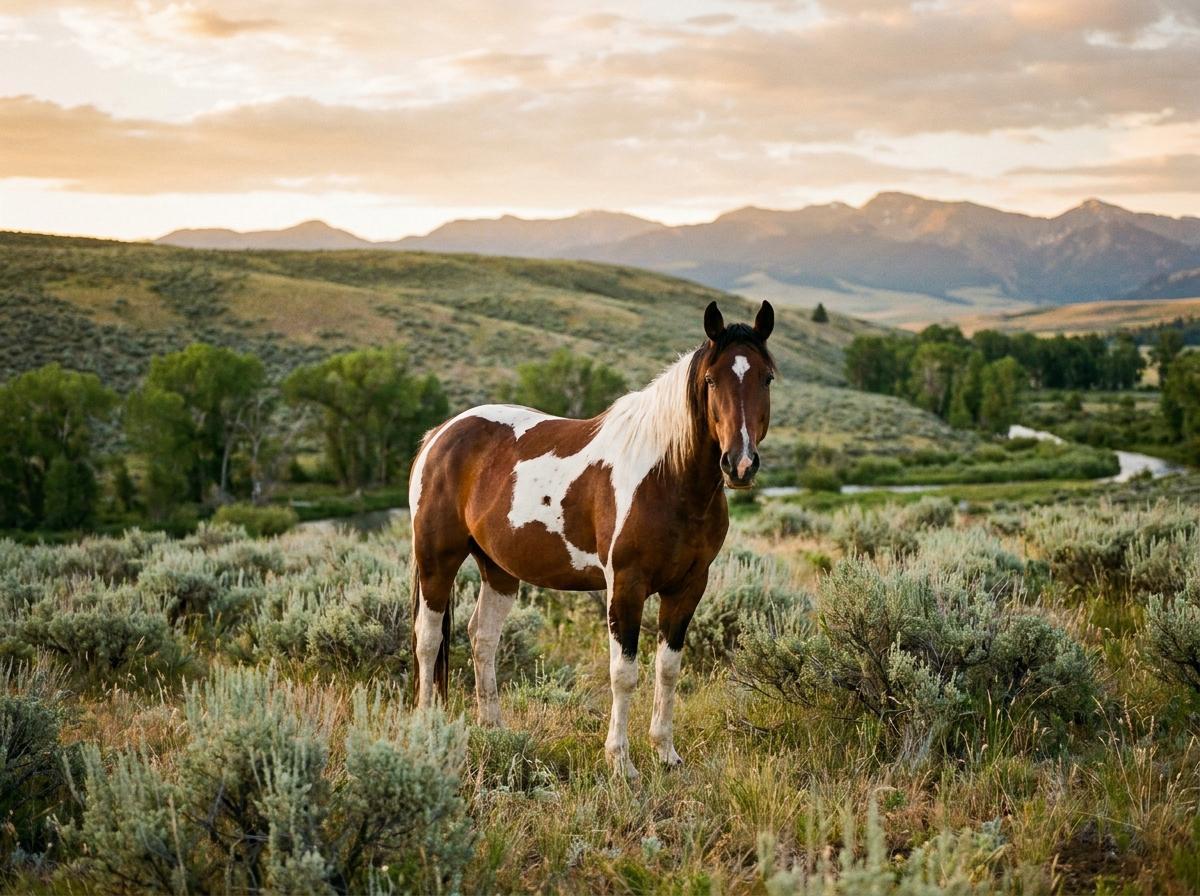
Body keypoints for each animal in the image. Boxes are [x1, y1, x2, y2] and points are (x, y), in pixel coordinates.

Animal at [408, 300, 775, 777]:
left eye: (766, 377)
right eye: (711, 380)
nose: (740, 464)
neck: (667, 478)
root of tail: (440, 434)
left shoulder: (689, 586)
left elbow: (668, 669)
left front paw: (666, 753)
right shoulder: (626, 584)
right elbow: (624, 673)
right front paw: (621, 763)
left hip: (499, 569)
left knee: (482, 637)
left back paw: (495, 730)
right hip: (437, 559)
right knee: (429, 638)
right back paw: (426, 727)